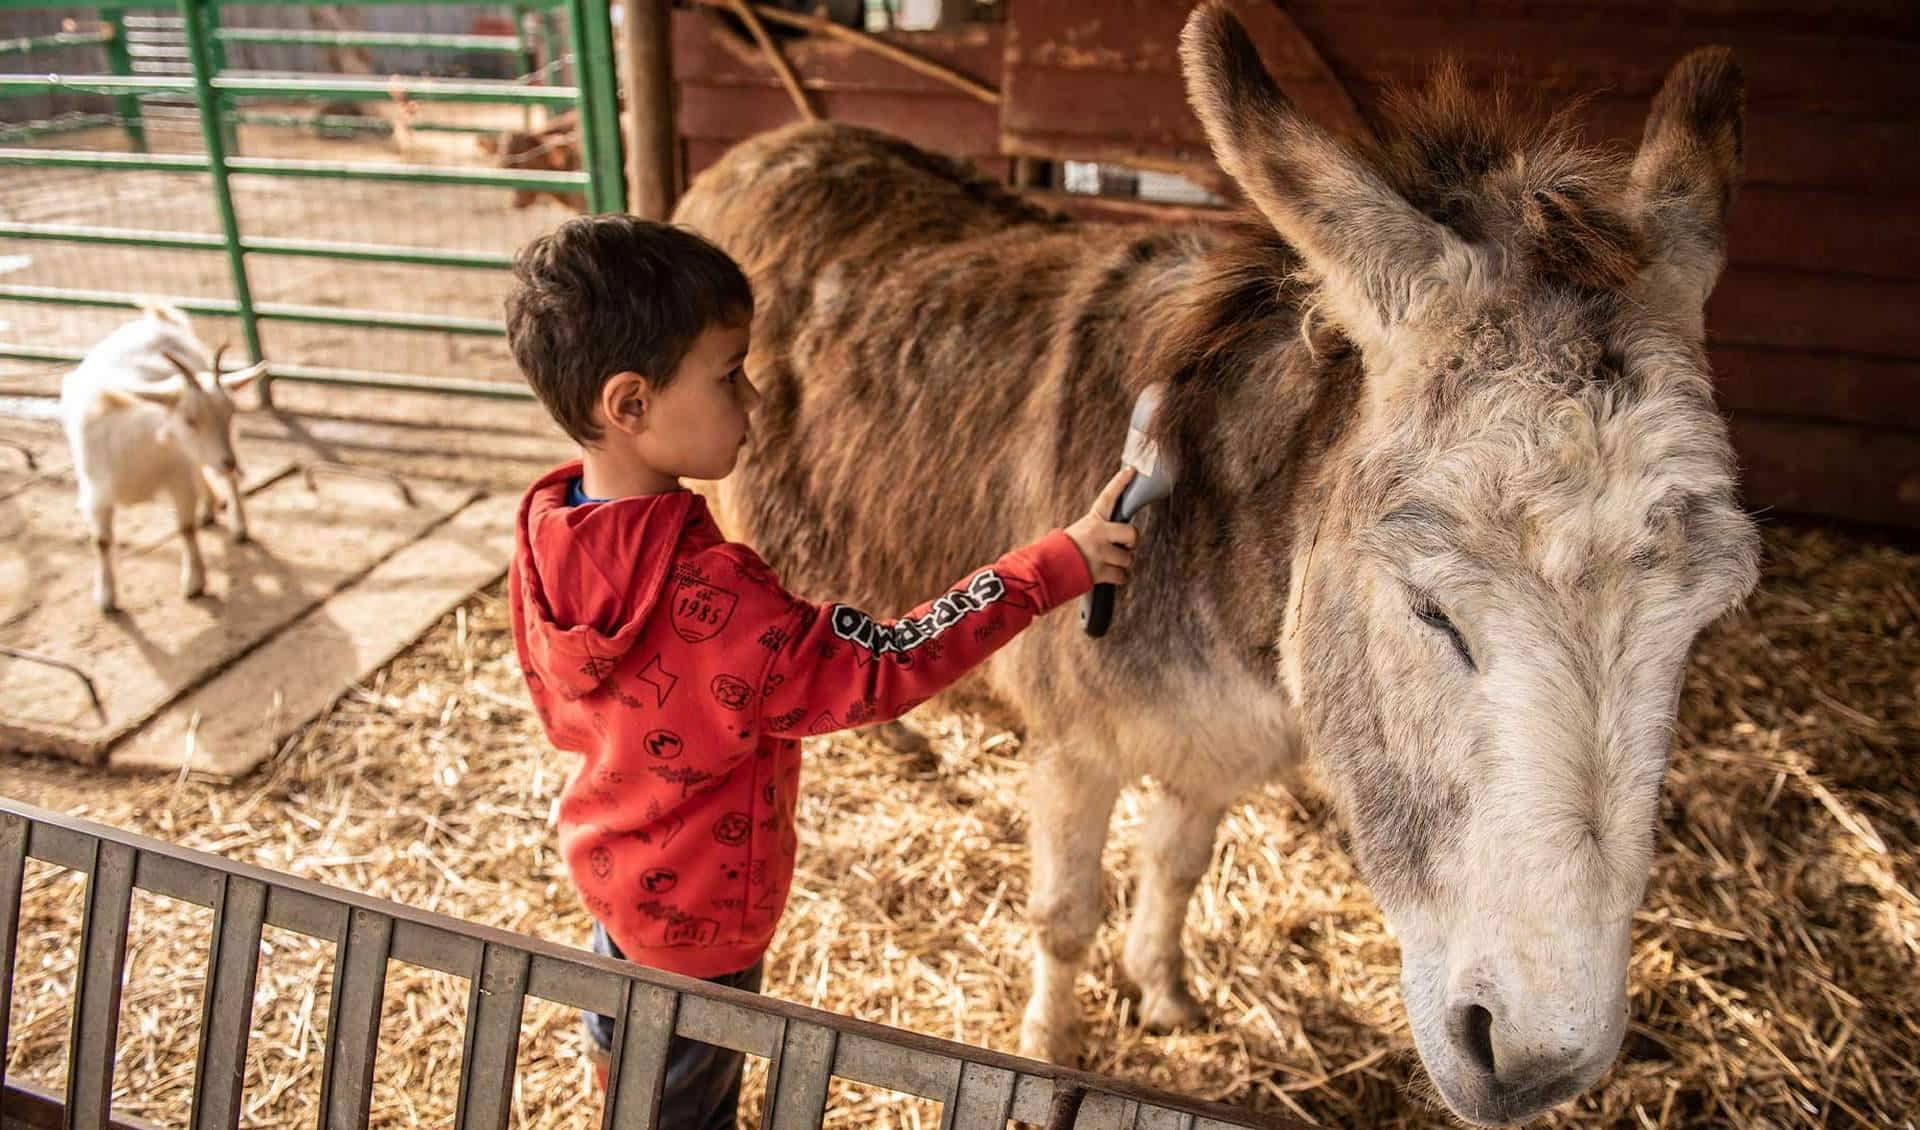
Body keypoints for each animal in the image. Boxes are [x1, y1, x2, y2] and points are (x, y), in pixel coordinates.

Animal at [60, 303, 266, 613]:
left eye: (230, 412)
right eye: (189, 419)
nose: (228, 462)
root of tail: (161, 317)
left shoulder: (178, 476)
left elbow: (185, 528)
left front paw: (194, 582)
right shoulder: (97, 490)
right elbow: (101, 541)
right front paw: (106, 597)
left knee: (220, 480)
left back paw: (238, 526)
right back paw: (209, 506)